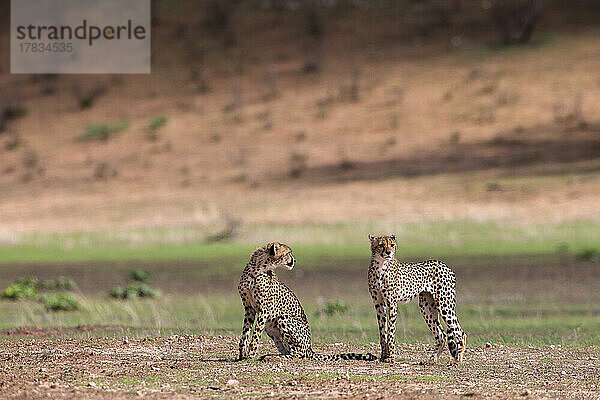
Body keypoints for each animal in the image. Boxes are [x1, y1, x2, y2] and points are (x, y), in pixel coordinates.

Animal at [238, 242, 376, 360]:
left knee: (299, 354)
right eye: (288, 253)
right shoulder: (249, 308)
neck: (258, 267)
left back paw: (273, 357)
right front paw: (242, 356)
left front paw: (250, 355)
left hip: (283, 318)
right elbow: (245, 333)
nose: (294, 260)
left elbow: (255, 334)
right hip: (271, 328)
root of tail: (310, 348)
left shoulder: (264, 310)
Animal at [366, 233, 468, 364]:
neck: (380, 264)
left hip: (444, 304)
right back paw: (431, 360)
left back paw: (457, 361)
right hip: (426, 307)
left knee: (460, 332)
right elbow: (382, 332)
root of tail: (445, 265)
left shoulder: (391, 303)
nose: (388, 252)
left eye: (392, 245)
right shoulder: (378, 304)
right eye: (381, 245)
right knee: (442, 335)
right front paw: (383, 356)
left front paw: (390, 357)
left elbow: (391, 332)